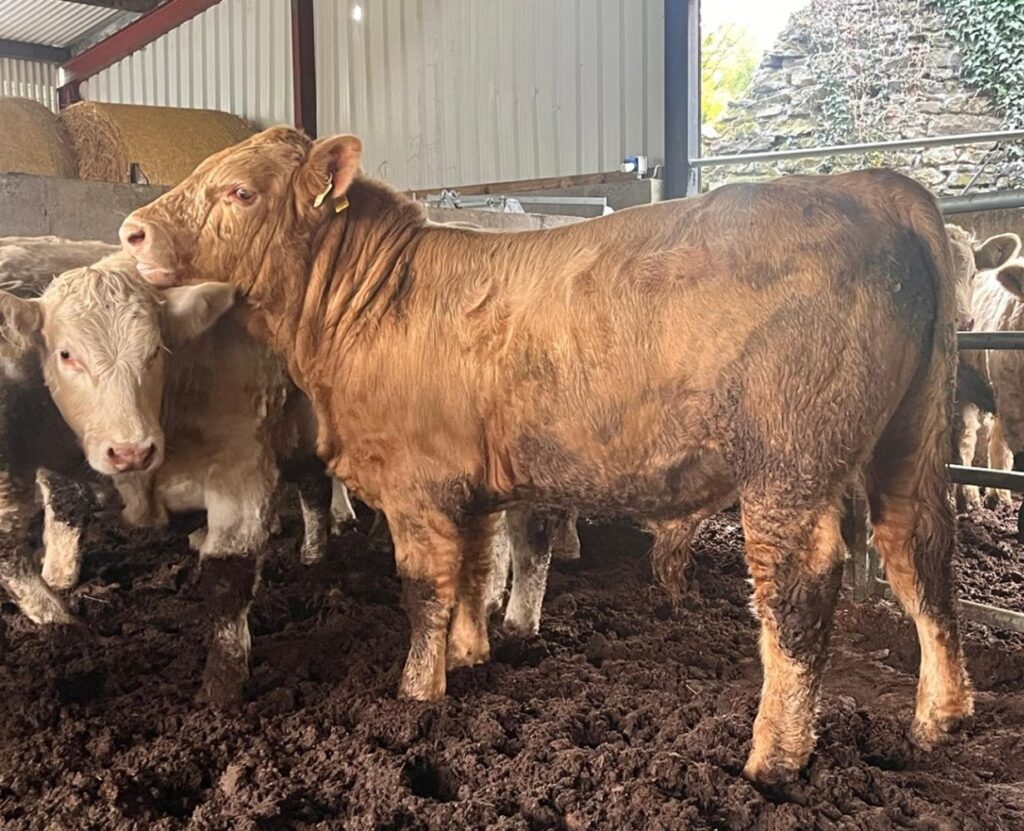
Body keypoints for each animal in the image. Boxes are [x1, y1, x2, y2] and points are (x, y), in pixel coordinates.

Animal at [117, 126, 972, 785]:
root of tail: (870, 184)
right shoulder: (467, 480)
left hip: (788, 464)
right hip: (909, 442)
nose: (130, 230)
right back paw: (941, 716)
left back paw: (775, 756)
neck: (366, 304)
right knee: (920, 553)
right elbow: (472, 568)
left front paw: (416, 693)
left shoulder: (418, 484)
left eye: (238, 192)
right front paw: (470, 653)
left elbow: (424, 587)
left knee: (798, 591)